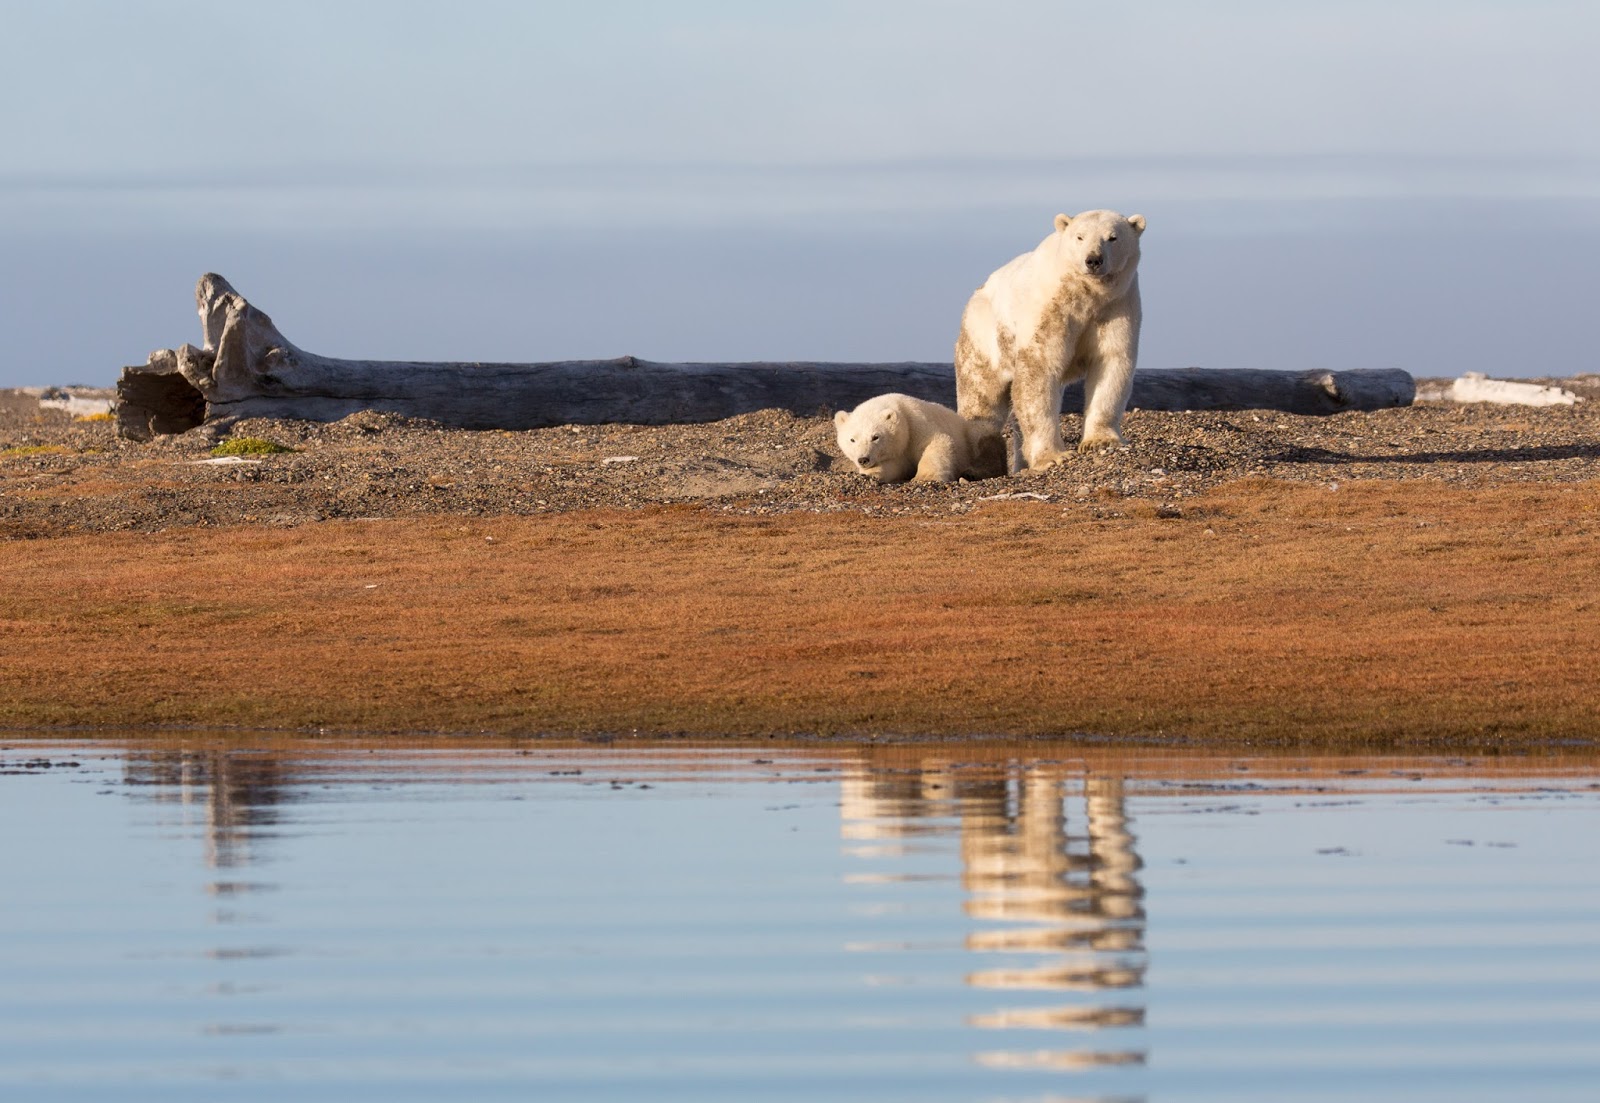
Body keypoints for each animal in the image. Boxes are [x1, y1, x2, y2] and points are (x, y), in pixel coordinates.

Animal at [833, 392, 979, 484]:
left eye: (875, 437)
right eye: (852, 439)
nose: (863, 459)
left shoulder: (916, 424)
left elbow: (937, 442)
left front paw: (925, 477)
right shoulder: (897, 449)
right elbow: (892, 465)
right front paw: (871, 474)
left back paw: (969, 473)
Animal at [955, 208, 1145, 475]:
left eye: (1113, 237)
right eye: (1080, 237)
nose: (1093, 260)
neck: (1085, 294)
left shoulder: (1116, 306)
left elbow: (1111, 364)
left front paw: (1100, 441)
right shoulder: (1051, 309)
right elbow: (1039, 371)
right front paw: (1053, 457)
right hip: (985, 338)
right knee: (981, 398)